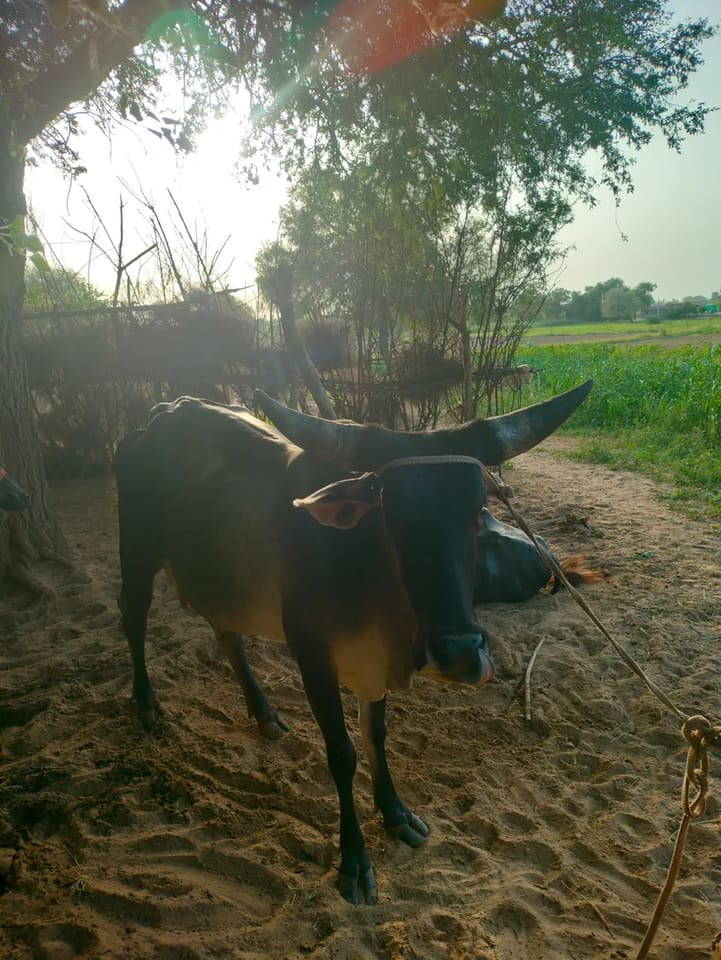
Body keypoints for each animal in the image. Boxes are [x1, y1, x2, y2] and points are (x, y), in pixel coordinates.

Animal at [114, 380, 592, 904]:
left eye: (476, 511)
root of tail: (158, 416)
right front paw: (355, 860)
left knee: (227, 634)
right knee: (133, 617)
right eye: (391, 514)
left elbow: (375, 735)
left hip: (219, 578)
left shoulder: (372, 667)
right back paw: (146, 703)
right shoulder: (312, 658)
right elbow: (342, 753)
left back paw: (264, 714)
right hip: (137, 551)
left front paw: (397, 814)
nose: (457, 653)